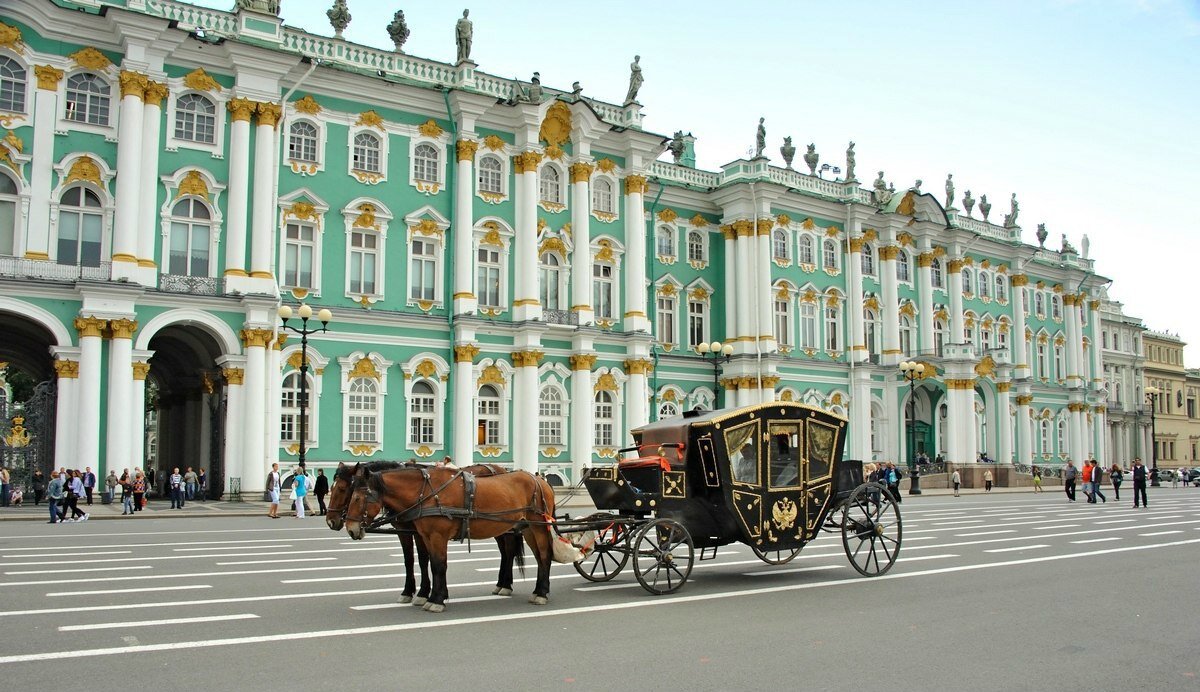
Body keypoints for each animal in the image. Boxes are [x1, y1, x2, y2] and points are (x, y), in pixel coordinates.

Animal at [345, 465, 554, 609]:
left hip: (538, 527)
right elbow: (430, 563)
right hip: (527, 529)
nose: (350, 529)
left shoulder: (438, 536)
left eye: (357, 498)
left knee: (544, 555)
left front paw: (436, 600)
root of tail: (541, 480)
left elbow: (439, 565)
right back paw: (530, 589)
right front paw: (432, 596)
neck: (428, 493)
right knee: (535, 556)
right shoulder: (425, 535)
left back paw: (541, 593)